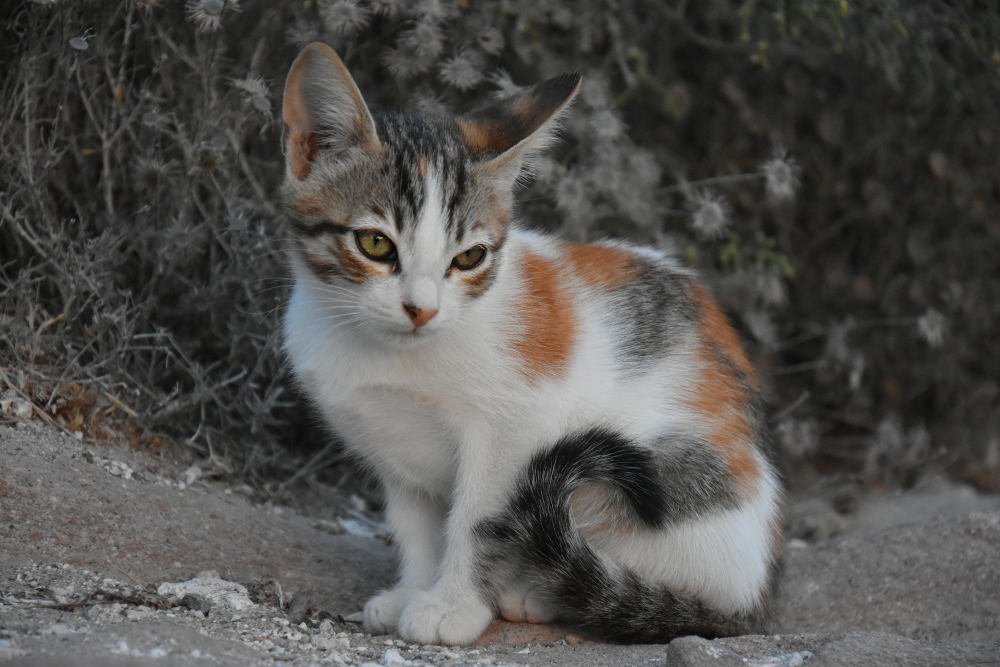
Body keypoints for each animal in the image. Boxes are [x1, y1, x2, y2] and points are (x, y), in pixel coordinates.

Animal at [280, 41, 780, 648]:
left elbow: (475, 517)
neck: (388, 354)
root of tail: (756, 598)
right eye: (375, 244)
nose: (422, 309)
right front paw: (411, 590)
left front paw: (453, 607)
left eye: (469, 257)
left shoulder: (517, 431)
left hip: (658, 474)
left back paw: (545, 592)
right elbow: (416, 525)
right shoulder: (389, 445)